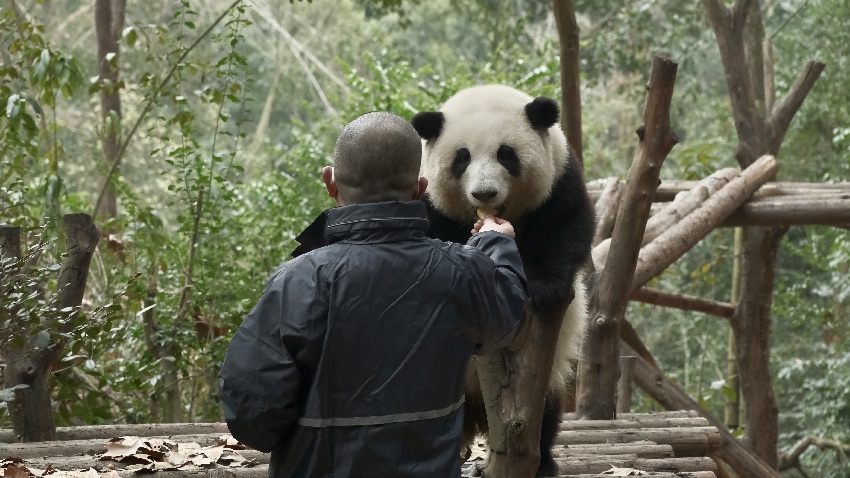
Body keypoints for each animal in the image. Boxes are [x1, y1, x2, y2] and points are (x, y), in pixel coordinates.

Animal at [410, 84, 592, 476]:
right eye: (461, 158)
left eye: (506, 154)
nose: (484, 193)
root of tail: (479, 413)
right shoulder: (430, 201)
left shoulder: (560, 180)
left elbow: (567, 227)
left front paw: (543, 287)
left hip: (550, 370)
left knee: (546, 414)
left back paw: (543, 462)